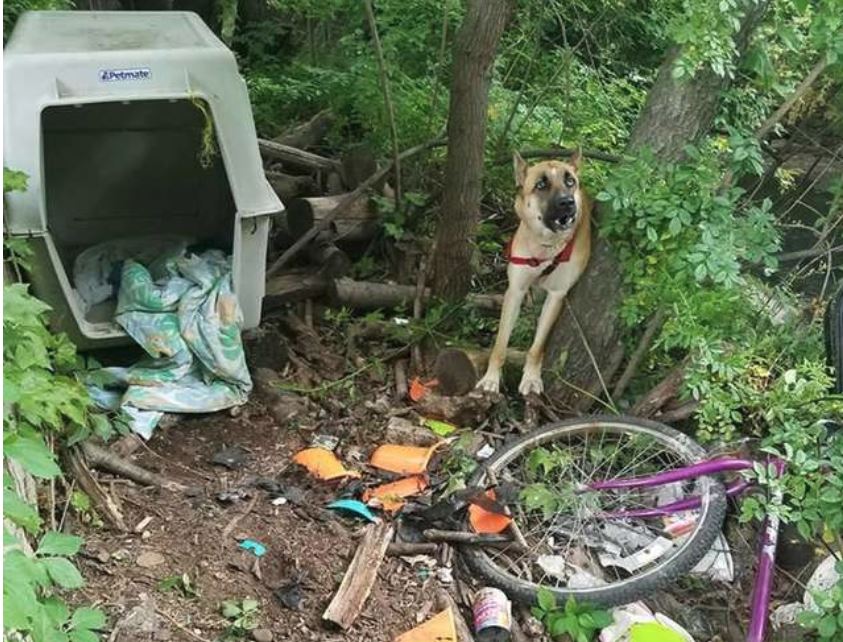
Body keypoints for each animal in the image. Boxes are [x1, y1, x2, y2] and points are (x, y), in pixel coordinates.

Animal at [478, 150, 592, 396]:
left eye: (570, 181)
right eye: (541, 184)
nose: (568, 202)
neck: (546, 246)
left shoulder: (556, 296)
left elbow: (537, 345)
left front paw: (531, 377)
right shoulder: (516, 290)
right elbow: (500, 344)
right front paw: (491, 378)